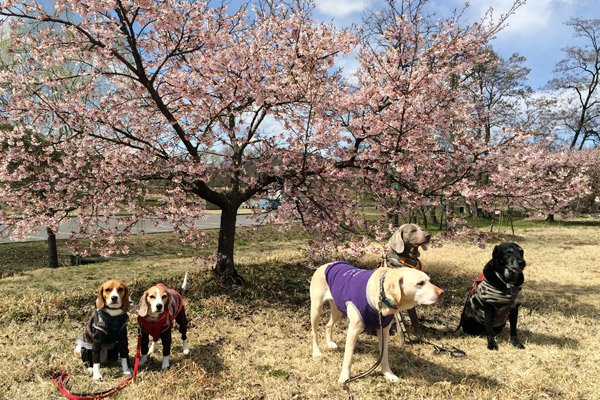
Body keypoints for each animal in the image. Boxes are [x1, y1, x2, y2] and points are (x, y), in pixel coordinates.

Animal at [312, 260, 442, 382]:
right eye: (420, 283)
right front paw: (345, 378)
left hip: (337, 310)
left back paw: (330, 343)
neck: (381, 297)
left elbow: (384, 356)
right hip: (316, 309)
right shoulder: (353, 330)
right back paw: (316, 352)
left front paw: (388, 374)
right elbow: (348, 358)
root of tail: (327, 264)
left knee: (328, 325)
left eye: (429, 281)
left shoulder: (384, 331)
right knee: (314, 332)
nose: (442, 292)